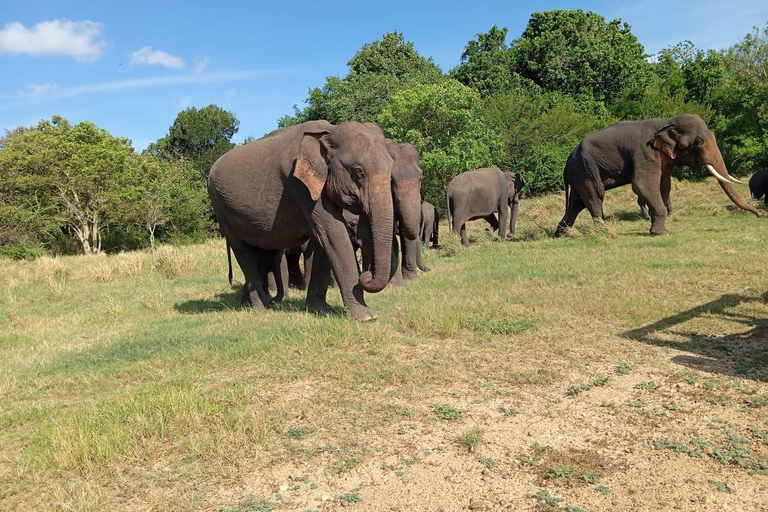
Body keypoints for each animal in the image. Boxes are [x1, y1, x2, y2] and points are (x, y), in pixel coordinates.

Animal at [207, 120, 392, 320]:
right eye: (358, 171)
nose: (366, 275)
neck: (329, 132)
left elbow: (324, 243)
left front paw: (319, 310)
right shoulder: (299, 184)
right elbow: (333, 232)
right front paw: (367, 316)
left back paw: (248, 304)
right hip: (221, 207)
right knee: (243, 251)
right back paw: (262, 308)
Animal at [552, 113, 760, 237]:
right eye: (699, 142)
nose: (759, 215)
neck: (667, 122)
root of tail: (567, 163)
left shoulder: (663, 158)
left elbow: (664, 186)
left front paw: (660, 229)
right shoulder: (646, 153)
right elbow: (641, 184)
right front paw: (661, 233)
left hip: (579, 173)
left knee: (577, 203)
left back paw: (561, 235)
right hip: (586, 169)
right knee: (595, 197)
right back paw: (606, 233)